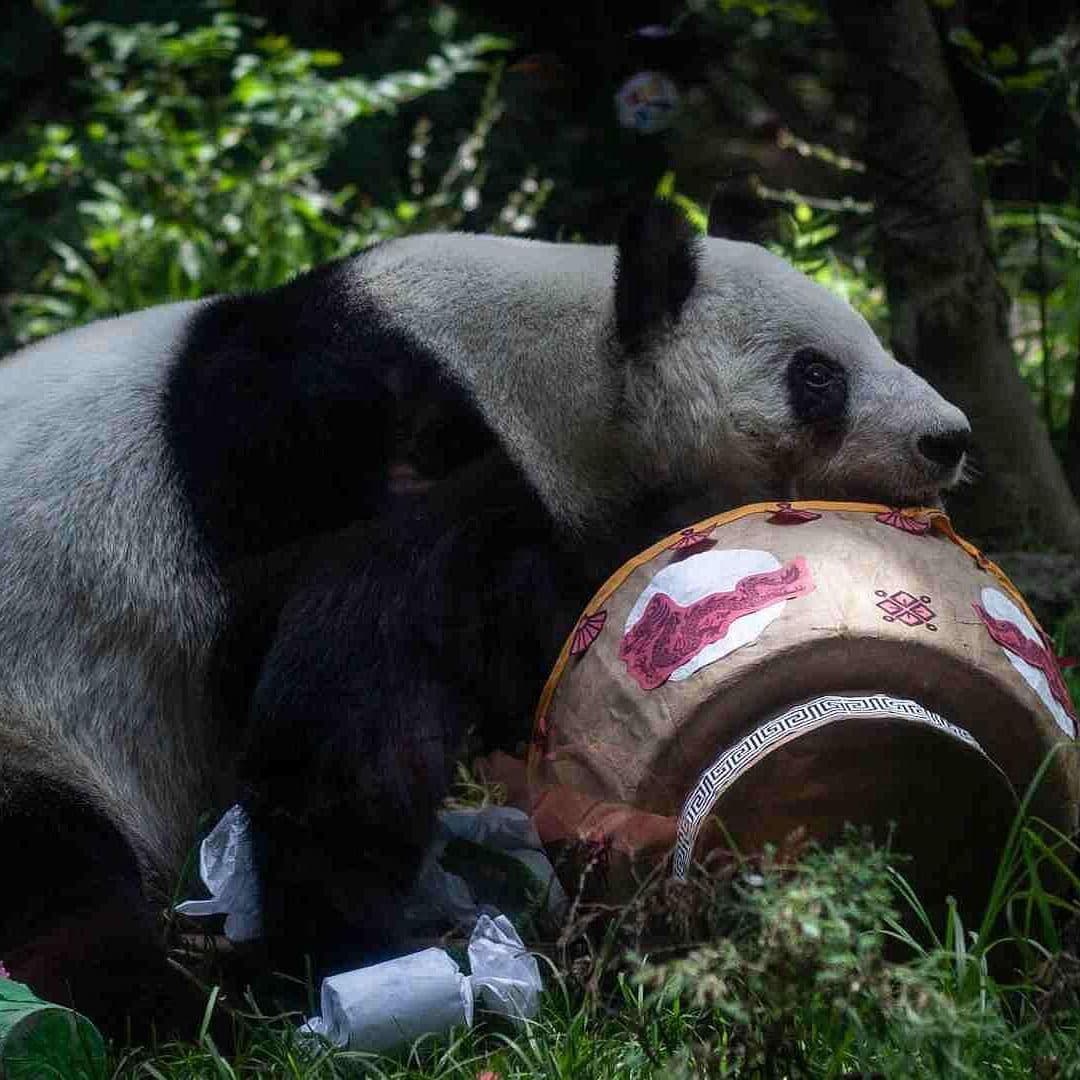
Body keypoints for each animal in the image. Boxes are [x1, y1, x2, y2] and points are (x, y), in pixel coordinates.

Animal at [0, 201, 971, 1034]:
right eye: (819, 375)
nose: (949, 438)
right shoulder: (346, 447)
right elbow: (357, 693)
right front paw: (347, 944)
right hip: (34, 708)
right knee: (58, 880)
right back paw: (164, 1007)